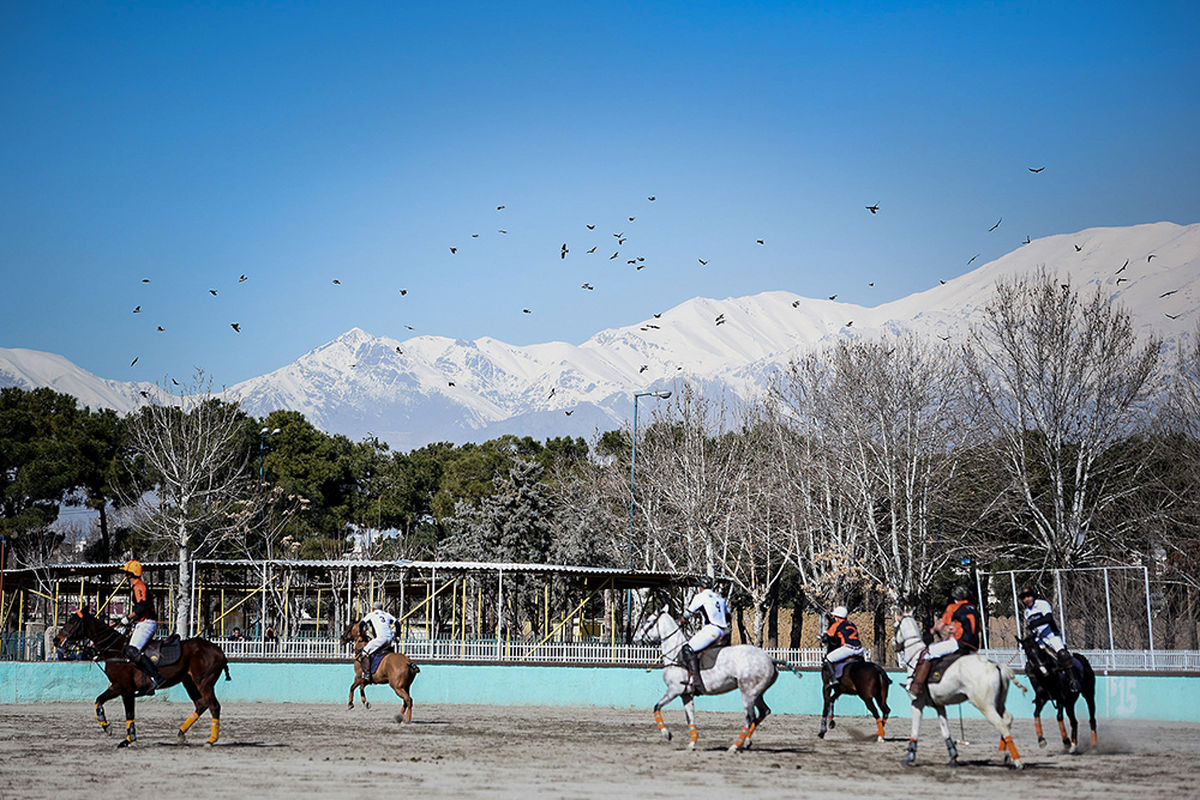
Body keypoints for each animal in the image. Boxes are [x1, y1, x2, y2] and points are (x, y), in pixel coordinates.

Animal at [52, 609, 229, 748]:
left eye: (72, 621)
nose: (56, 640)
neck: (116, 650)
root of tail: (220, 651)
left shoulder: (126, 689)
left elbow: (129, 713)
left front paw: (128, 740)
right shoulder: (116, 686)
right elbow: (98, 701)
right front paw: (106, 727)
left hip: (204, 682)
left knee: (214, 706)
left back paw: (211, 740)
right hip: (189, 682)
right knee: (201, 705)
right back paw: (181, 733)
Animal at [628, 606, 777, 753]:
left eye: (649, 621)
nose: (635, 638)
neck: (675, 654)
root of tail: (770, 658)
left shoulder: (674, 690)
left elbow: (656, 707)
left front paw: (667, 734)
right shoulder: (686, 694)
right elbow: (690, 718)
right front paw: (691, 744)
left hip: (747, 692)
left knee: (750, 717)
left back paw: (734, 746)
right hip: (756, 693)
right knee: (764, 711)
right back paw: (746, 742)